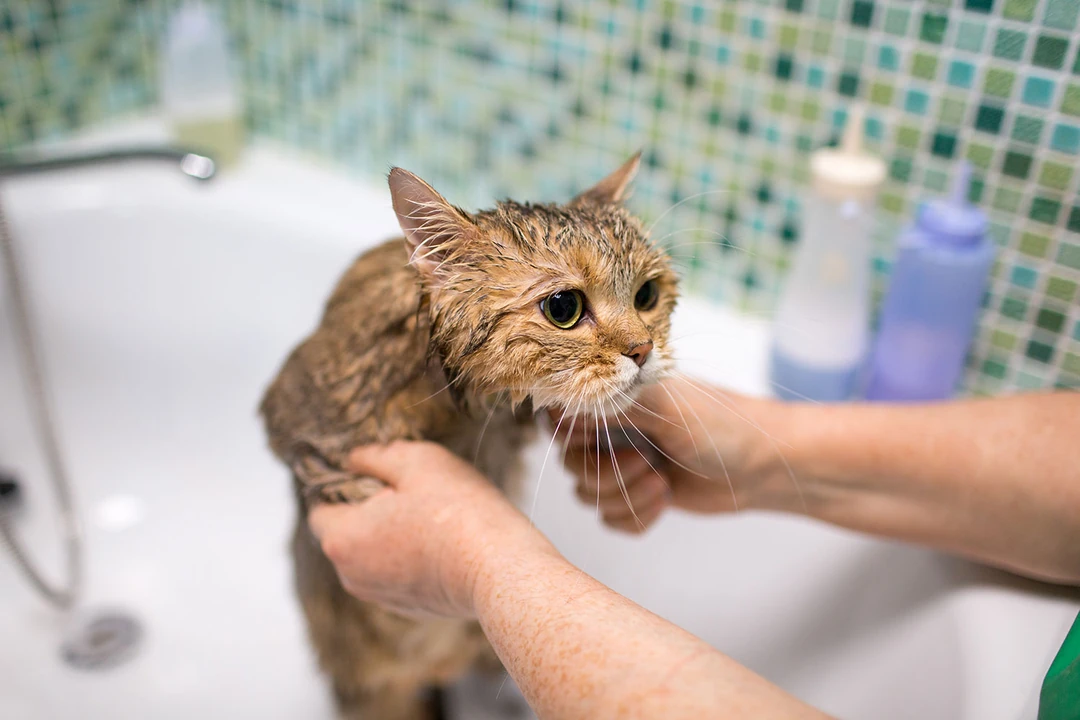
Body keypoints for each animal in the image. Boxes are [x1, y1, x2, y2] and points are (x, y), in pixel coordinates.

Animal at [259, 156, 673, 720]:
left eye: (647, 295)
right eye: (563, 307)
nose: (643, 350)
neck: (461, 408)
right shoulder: (289, 413)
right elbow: (317, 468)